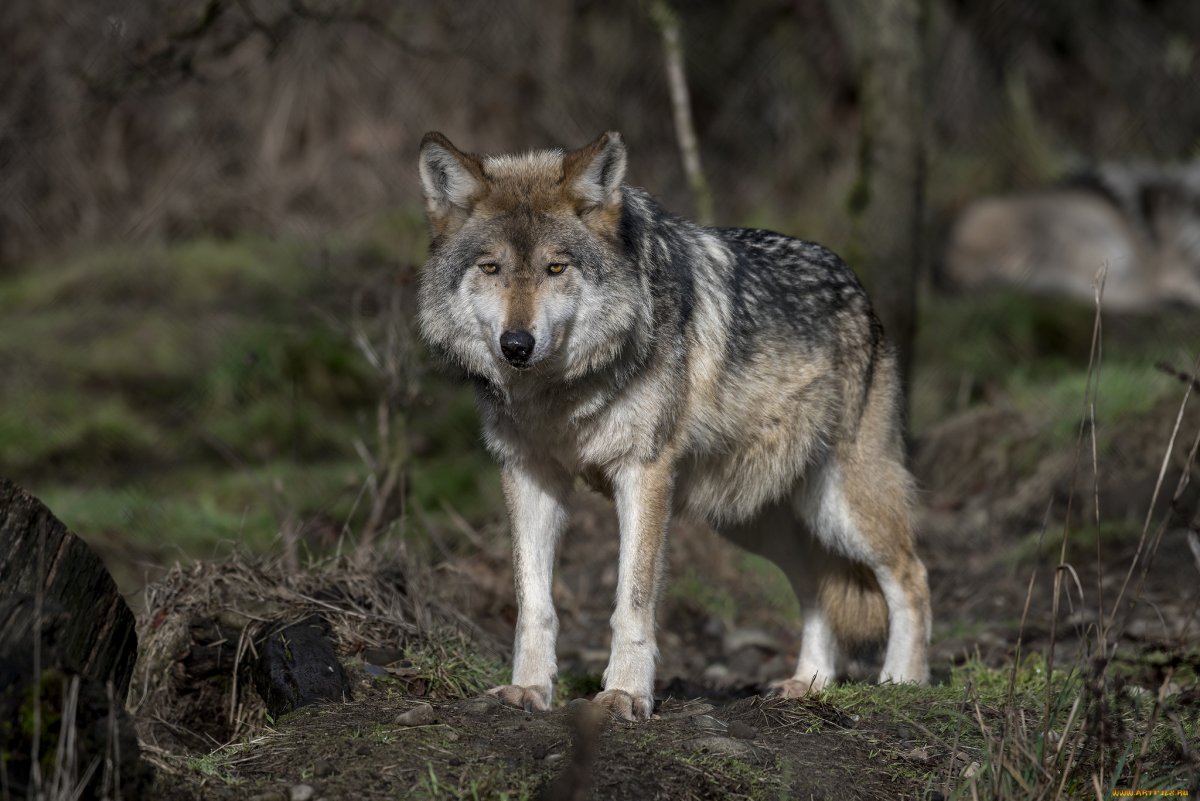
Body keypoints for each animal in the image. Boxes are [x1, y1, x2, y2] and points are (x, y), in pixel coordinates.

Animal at [417, 130, 931, 719]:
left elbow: (632, 601)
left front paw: (624, 694)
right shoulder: (529, 475)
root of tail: (859, 289)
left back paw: (902, 682)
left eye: (555, 269)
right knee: (819, 590)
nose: (516, 345)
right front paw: (529, 689)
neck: (559, 394)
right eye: (491, 268)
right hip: (757, 522)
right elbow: (534, 602)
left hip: (843, 506)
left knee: (912, 576)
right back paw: (810, 683)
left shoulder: (642, 474)